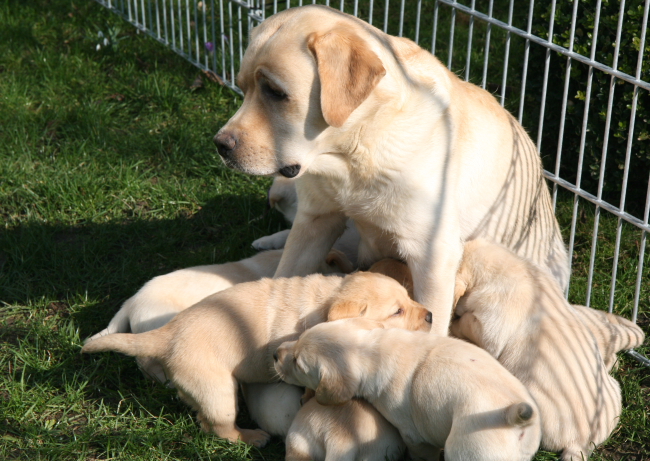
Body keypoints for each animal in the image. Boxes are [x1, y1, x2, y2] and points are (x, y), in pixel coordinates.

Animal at [83, 270, 432, 446]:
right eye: (397, 312)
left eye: (409, 298)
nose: (430, 315)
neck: (325, 301)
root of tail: (167, 334)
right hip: (218, 391)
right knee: (220, 428)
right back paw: (251, 437)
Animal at [214, 4, 568, 334]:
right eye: (242, 88)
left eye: (276, 92)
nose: (220, 145)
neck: (354, 154)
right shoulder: (316, 218)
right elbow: (286, 272)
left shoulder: (432, 255)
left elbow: (434, 325)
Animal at [274, 318, 540, 460]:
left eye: (297, 363)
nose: (275, 354)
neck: (371, 351)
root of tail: (509, 415)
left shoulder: (413, 434)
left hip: (468, 451)